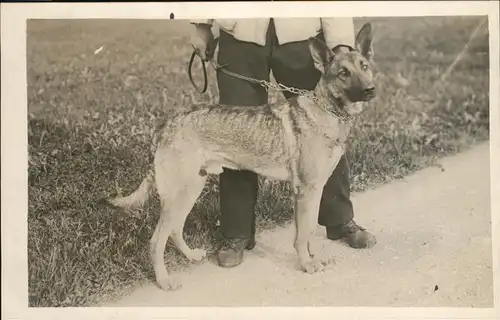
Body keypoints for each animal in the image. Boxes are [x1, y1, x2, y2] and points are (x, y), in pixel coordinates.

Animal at [108, 23, 376, 292]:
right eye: (343, 72)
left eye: (364, 66)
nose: (370, 90)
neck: (326, 110)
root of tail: (165, 126)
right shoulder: (305, 191)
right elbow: (302, 236)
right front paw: (307, 264)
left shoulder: (316, 189)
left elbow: (309, 230)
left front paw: (313, 257)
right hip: (179, 194)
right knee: (156, 240)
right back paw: (164, 280)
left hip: (191, 189)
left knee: (174, 230)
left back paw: (190, 256)